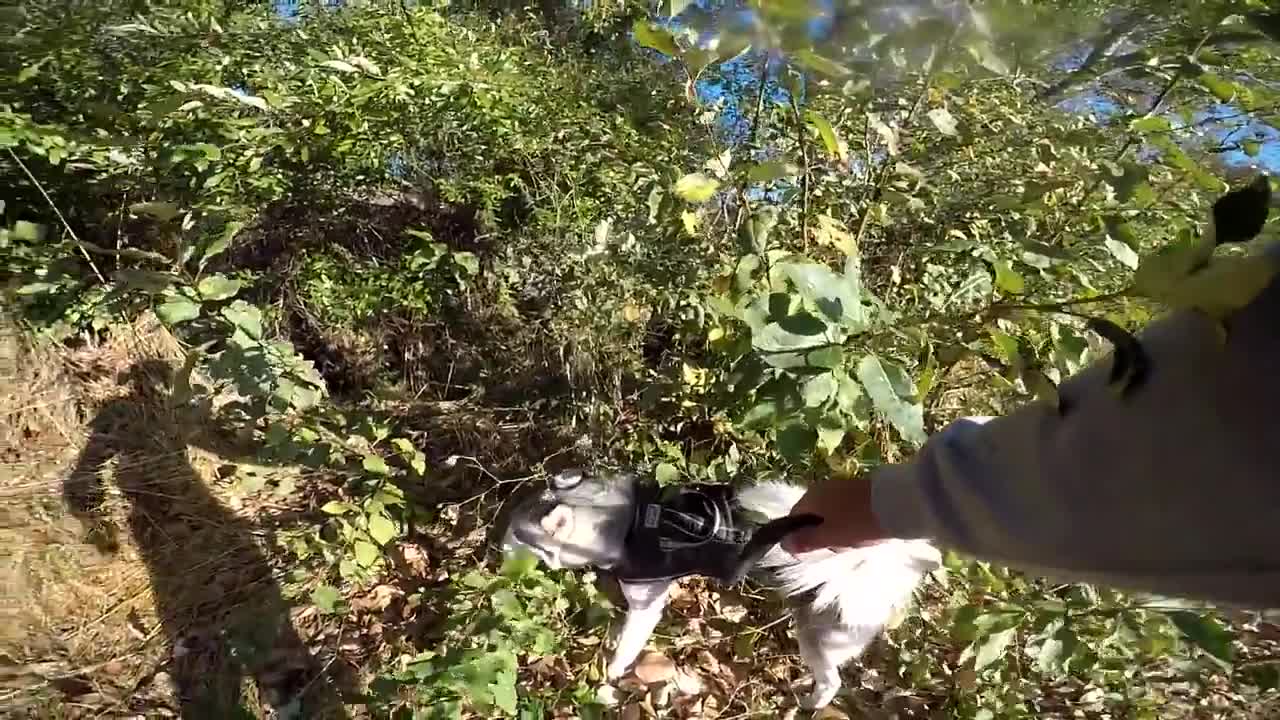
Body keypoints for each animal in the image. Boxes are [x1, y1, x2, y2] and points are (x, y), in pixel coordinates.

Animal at [499, 466, 942, 707]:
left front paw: (612, 671)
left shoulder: (646, 605)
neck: (628, 523)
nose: (494, 548)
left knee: (832, 679)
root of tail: (878, 566)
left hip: (820, 635)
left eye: (516, 536)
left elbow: (627, 643)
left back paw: (812, 701)